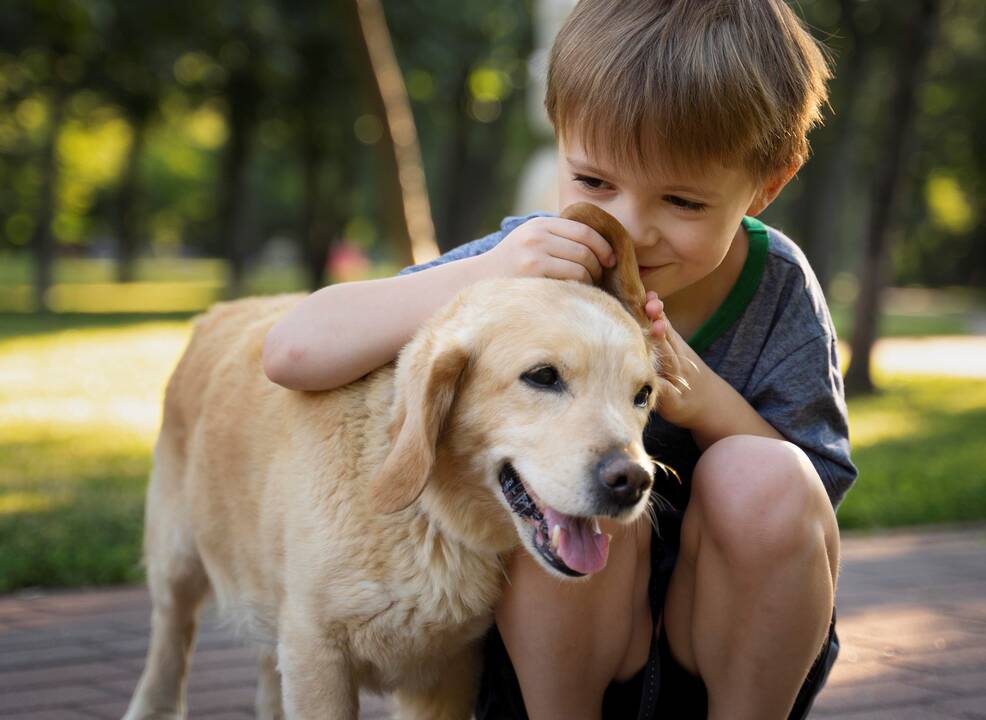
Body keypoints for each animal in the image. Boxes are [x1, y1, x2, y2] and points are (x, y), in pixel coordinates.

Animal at [125, 204, 660, 720]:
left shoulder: (447, 674)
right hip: (176, 560)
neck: (429, 518)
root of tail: (220, 309)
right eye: (543, 376)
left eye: (643, 395)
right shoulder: (314, 654)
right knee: (169, 641)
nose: (633, 481)